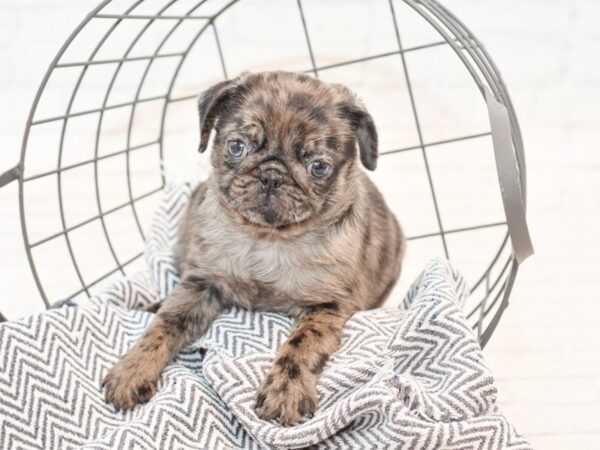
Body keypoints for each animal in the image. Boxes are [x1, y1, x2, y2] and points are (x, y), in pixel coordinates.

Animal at [103, 71, 406, 426]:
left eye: (318, 167)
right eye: (237, 147)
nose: (272, 176)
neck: (266, 238)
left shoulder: (327, 305)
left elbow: (303, 344)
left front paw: (286, 390)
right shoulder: (201, 284)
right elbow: (165, 325)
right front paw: (132, 369)